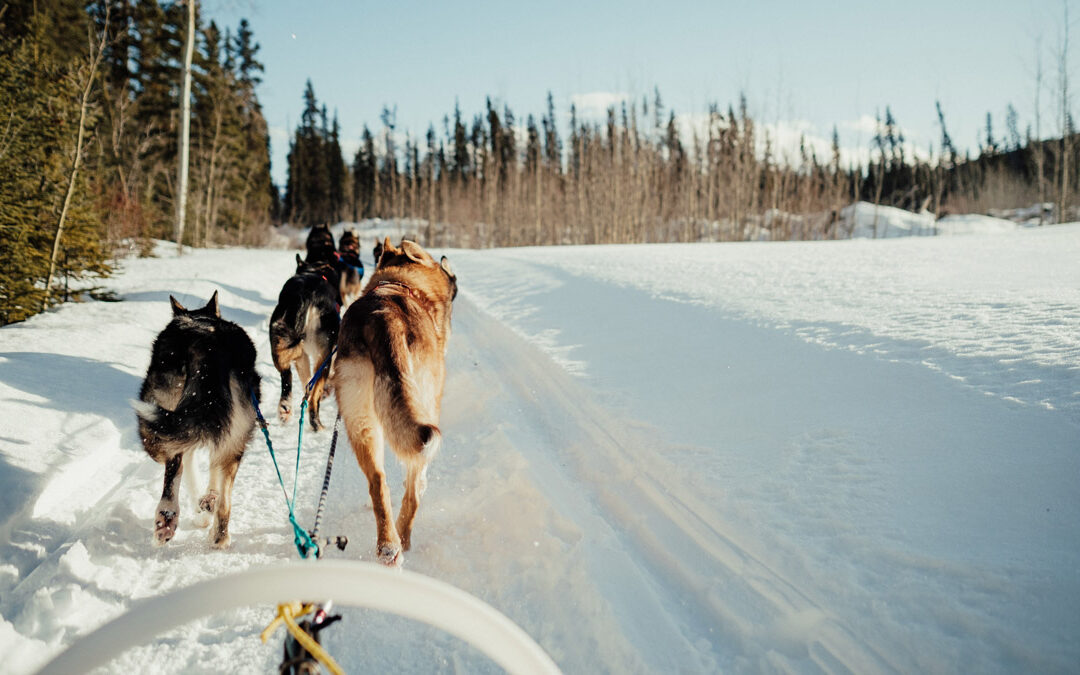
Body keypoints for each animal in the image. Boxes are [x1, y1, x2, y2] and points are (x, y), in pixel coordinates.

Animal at [133, 291, 258, 548]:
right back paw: (218, 535)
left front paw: (203, 510)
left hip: (156, 422)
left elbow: (188, 469)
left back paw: (168, 518)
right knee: (224, 500)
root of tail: (204, 341)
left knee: (174, 467)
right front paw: (206, 505)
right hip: (232, 434)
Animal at [268, 252, 336, 432]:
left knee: (287, 377)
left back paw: (285, 409)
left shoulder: (302, 356)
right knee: (314, 397)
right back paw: (317, 424)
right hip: (324, 356)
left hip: (279, 343)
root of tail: (307, 295)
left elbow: (306, 381)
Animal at [328, 236, 455, 561]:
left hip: (360, 420)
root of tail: (384, 318)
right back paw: (403, 537)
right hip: (423, 415)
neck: (400, 284)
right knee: (413, 486)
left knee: (378, 481)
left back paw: (388, 545)